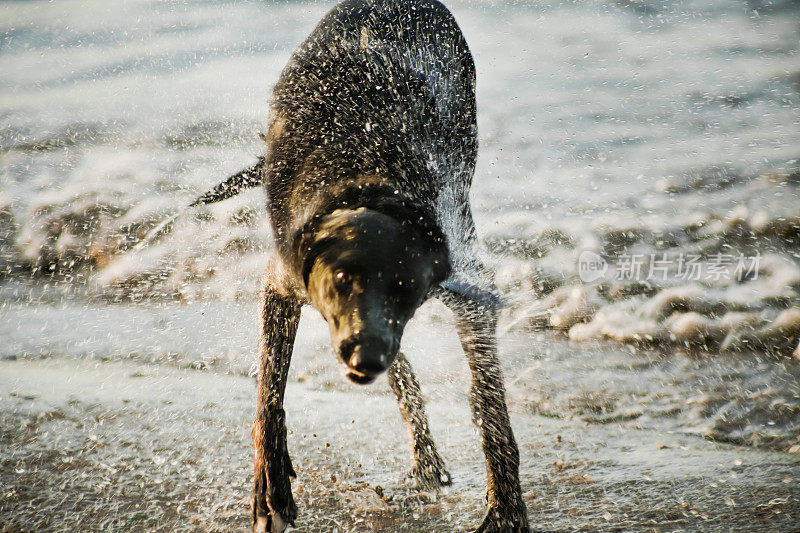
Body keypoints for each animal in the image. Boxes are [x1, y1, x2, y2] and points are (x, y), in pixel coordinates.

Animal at [234, 0, 528, 528]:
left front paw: (506, 507)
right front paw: (270, 481)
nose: (365, 356)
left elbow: (491, 407)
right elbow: (270, 390)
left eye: (405, 287)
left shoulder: (466, 286)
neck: (369, 181)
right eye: (340, 278)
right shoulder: (283, 279)